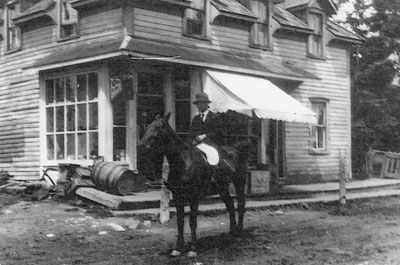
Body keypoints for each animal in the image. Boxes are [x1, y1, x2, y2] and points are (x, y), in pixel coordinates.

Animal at [139, 112, 248, 256]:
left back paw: (239, 233)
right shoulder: (178, 196)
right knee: (230, 205)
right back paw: (232, 232)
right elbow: (180, 221)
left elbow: (192, 221)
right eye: (147, 128)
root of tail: (236, 150)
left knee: (240, 205)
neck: (183, 162)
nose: (141, 147)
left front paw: (193, 248)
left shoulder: (193, 197)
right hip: (222, 188)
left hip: (239, 183)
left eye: (158, 129)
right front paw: (178, 248)